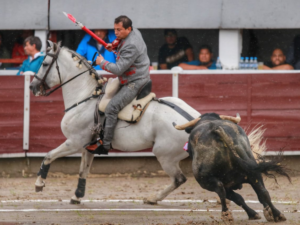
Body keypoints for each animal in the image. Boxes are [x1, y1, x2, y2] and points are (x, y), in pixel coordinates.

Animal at [29, 41, 202, 205]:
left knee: (179, 179)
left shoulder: (74, 142)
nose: (32, 86)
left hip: (165, 156)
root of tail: (195, 121)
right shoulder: (88, 147)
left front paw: (39, 184)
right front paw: (77, 196)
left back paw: (153, 198)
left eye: (44, 64)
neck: (85, 97)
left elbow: (49, 155)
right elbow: (83, 171)